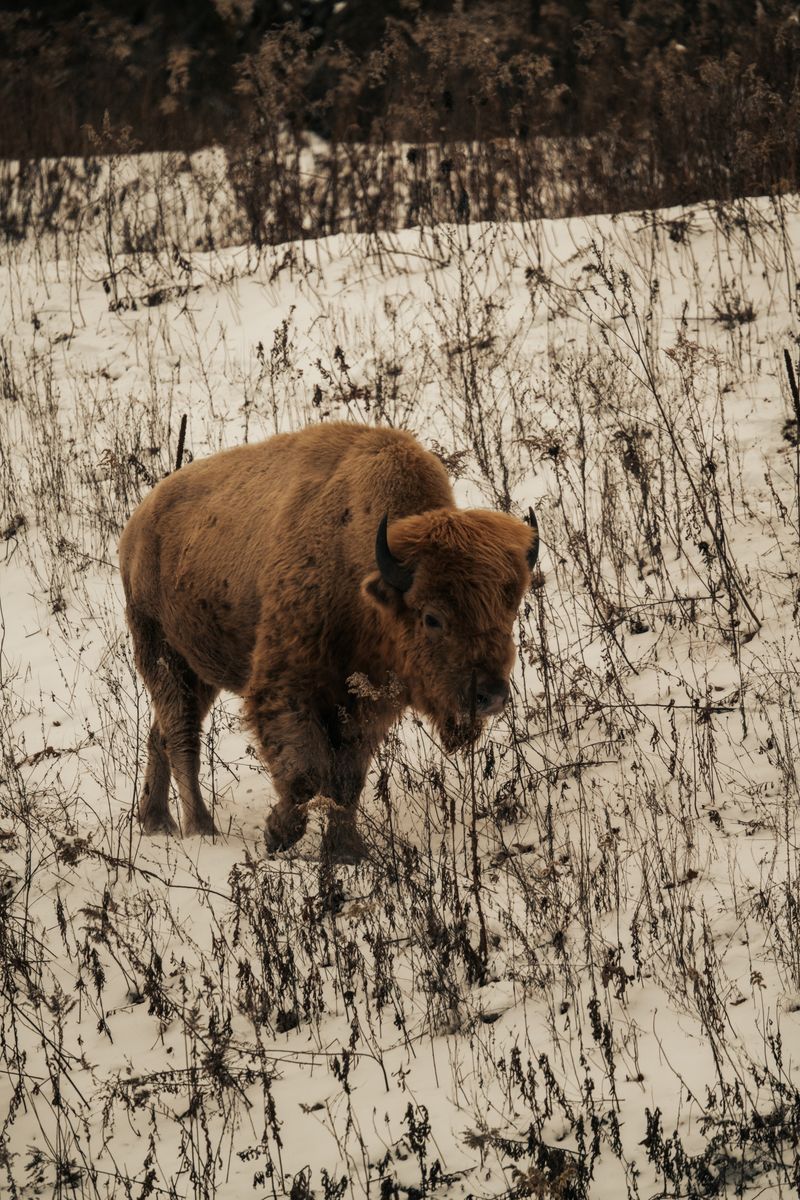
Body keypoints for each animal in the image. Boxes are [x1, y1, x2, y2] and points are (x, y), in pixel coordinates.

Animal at [119, 422, 538, 861]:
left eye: (509, 612)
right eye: (432, 617)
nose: (490, 696)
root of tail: (139, 523)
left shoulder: (364, 706)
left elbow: (347, 780)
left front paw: (347, 852)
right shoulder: (288, 688)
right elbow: (305, 774)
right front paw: (278, 833)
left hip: (200, 671)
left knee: (160, 734)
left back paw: (155, 821)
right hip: (165, 655)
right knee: (182, 738)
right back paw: (200, 828)